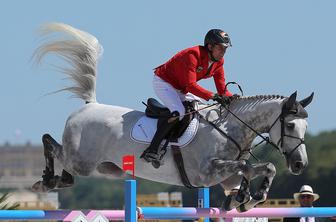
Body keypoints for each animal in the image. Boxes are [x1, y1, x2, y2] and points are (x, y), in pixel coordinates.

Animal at [30, 23, 312, 212]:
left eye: (305, 126)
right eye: (289, 125)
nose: (300, 165)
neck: (228, 129)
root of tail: (90, 105)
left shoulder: (224, 176)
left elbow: (263, 167)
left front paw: (246, 199)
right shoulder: (206, 172)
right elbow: (245, 166)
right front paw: (243, 198)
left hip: (107, 169)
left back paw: (56, 180)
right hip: (81, 160)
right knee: (52, 145)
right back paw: (46, 181)